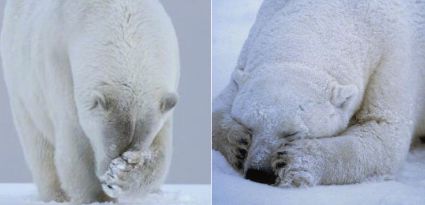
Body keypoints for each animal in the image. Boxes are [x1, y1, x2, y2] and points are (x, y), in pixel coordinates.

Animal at [0, 0, 179, 203]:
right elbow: (76, 141)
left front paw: (124, 176)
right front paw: (98, 197)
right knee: (37, 143)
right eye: (110, 145)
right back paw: (56, 195)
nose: (108, 182)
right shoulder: (59, 66)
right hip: (20, 84)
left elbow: (161, 148)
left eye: (137, 144)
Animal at [214, 0, 424, 187]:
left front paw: (294, 161)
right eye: (249, 125)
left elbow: (384, 133)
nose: (258, 173)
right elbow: (222, 102)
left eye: (293, 133)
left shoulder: (392, 61)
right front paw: (238, 144)